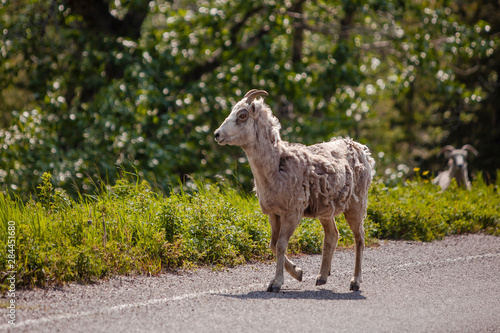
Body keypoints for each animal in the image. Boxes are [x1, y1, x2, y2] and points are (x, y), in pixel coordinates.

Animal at [213, 89, 374, 290]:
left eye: (242, 115)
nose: (217, 134)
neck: (276, 167)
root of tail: (362, 150)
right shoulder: (274, 214)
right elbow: (273, 245)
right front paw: (298, 273)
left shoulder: (292, 214)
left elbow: (281, 245)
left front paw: (276, 283)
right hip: (325, 212)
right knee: (332, 235)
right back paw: (321, 278)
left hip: (356, 207)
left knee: (359, 239)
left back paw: (355, 282)